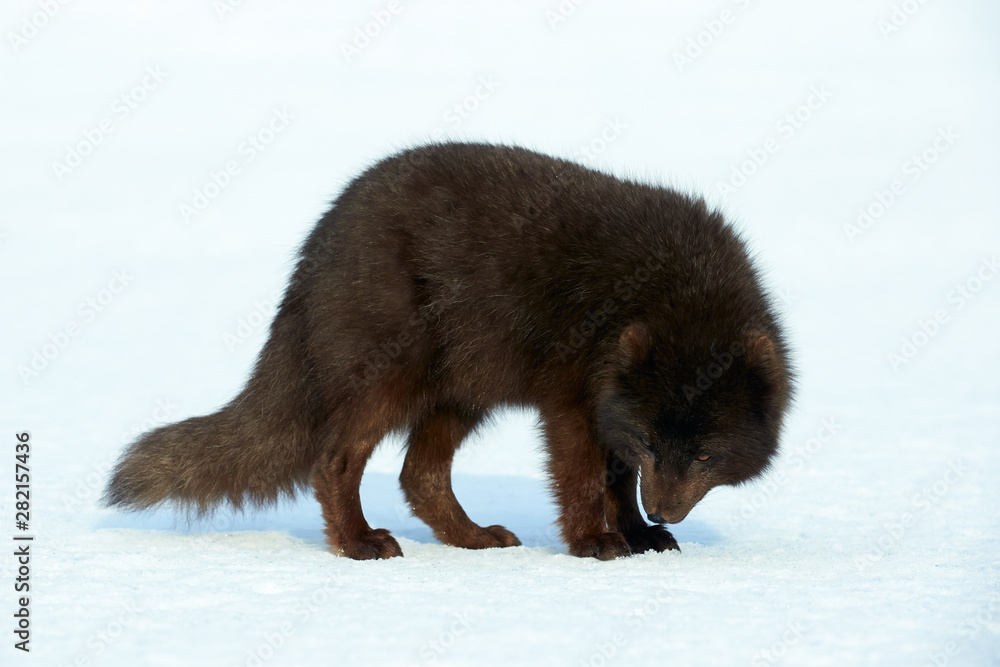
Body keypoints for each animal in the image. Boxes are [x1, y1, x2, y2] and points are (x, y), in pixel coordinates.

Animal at [104, 142, 793, 560]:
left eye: (703, 454)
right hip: (393, 378)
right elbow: (584, 478)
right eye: (656, 443)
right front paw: (595, 542)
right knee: (333, 460)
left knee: (418, 476)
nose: (667, 512)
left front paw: (637, 533)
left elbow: (616, 479)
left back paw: (472, 538)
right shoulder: (573, 402)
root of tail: (315, 245)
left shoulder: (610, 409)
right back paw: (360, 543)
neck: (668, 290)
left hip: (459, 392)